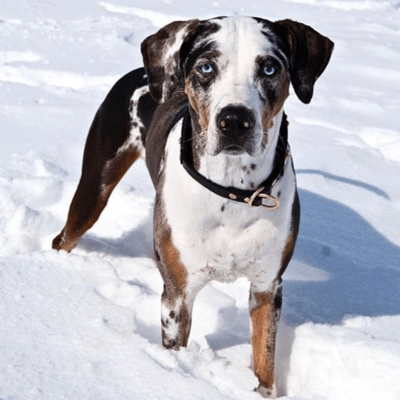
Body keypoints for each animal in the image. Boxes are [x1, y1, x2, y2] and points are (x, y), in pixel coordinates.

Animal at [54, 14, 334, 396]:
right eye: (206, 67)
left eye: (270, 68)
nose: (235, 120)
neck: (232, 192)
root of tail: (141, 71)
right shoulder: (178, 295)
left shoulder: (267, 286)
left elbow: (265, 361)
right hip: (93, 190)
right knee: (65, 236)